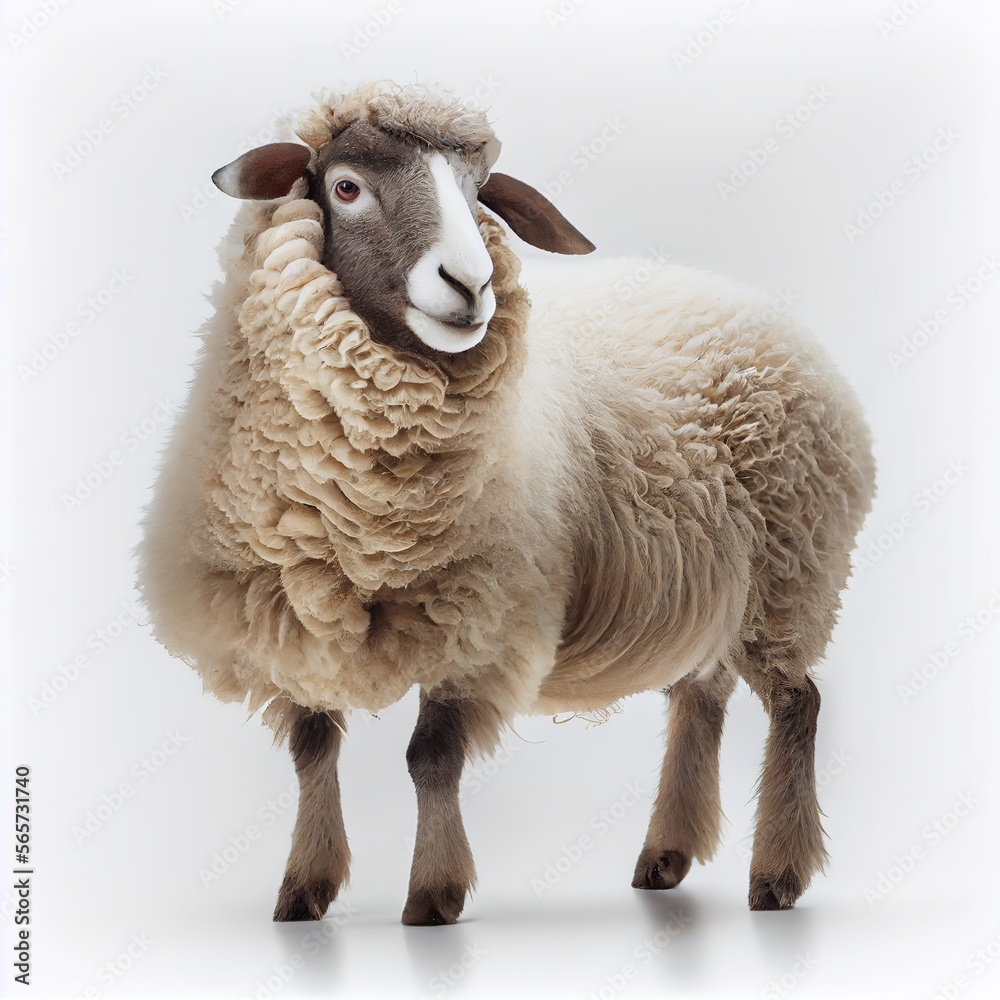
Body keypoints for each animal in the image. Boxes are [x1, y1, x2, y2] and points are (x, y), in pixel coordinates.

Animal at [137, 80, 875, 924]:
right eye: (345, 187)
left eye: (476, 192)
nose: (473, 283)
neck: (361, 519)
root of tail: (765, 309)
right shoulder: (290, 614)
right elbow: (311, 747)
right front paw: (304, 889)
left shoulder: (478, 616)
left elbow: (431, 756)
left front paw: (433, 893)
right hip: (716, 587)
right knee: (701, 695)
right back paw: (666, 854)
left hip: (791, 573)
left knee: (796, 703)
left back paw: (778, 874)